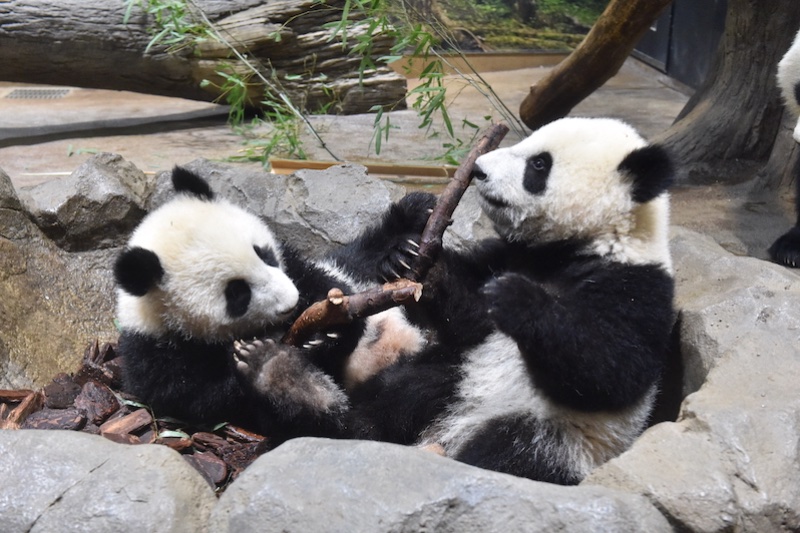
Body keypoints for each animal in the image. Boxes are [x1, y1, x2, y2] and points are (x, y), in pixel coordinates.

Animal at [114, 165, 424, 440]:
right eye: (237, 293)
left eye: (264, 254)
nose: (293, 302)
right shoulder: (158, 357)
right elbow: (207, 397)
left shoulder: (299, 267)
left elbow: (325, 285)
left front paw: (329, 332)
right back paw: (279, 376)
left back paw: (406, 239)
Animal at [336, 116, 676, 482]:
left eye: (539, 164)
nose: (479, 170)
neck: (571, 248)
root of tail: (452, 428)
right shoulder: (508, 255)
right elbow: (471, 321)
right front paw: (405, 259)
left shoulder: (637, 287)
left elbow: (611, 372)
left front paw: (518, 299)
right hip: (461, 370)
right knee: (403, 389)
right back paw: (360, 428)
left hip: (560, 437)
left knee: (508, 453)